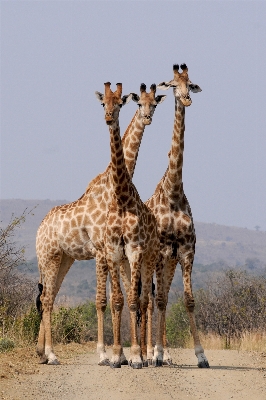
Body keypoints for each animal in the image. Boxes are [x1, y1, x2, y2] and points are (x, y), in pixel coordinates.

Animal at [35, 83, 164, 368]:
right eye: (139, 104)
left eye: (154, 104)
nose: (147, 118)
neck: (112, 188)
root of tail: (39, 229)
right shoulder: (101, 250)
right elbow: (102, 301)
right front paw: (106, 354)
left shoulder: (115, 252)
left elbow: (119, 298)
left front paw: (123, 355)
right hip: (49, 257)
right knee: (46, 298)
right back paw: (51, 354)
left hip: (64, 259)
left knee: (49, 296)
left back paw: (42, 352)